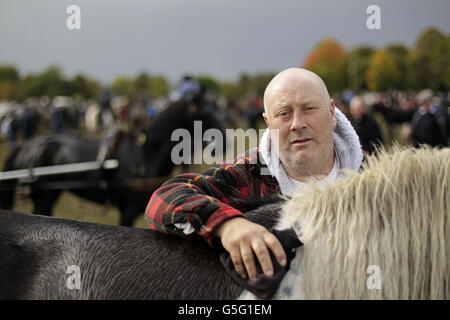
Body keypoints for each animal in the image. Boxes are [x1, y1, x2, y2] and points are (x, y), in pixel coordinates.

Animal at [0, 92, 225, 228]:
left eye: (219, 107)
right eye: (205, 111)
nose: (223, 141)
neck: (145, 156)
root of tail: (28, 146)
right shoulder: (128, 211)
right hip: (44, 195)